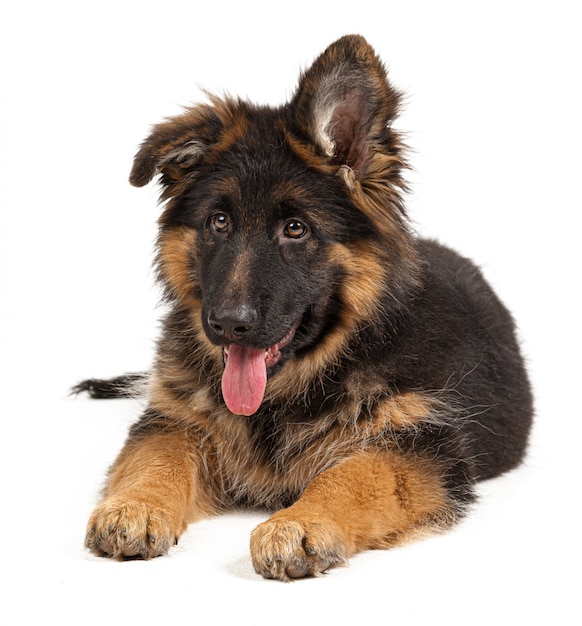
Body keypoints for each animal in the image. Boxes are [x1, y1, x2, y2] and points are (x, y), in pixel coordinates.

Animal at [76, 35, 532, 580]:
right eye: (218, 222)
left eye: (296, 229)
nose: (227, 325)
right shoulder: (176, 420)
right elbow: (155, 457)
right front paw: (136, 506)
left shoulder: (421, 448)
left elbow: (353, 474)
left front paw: (300, 523)